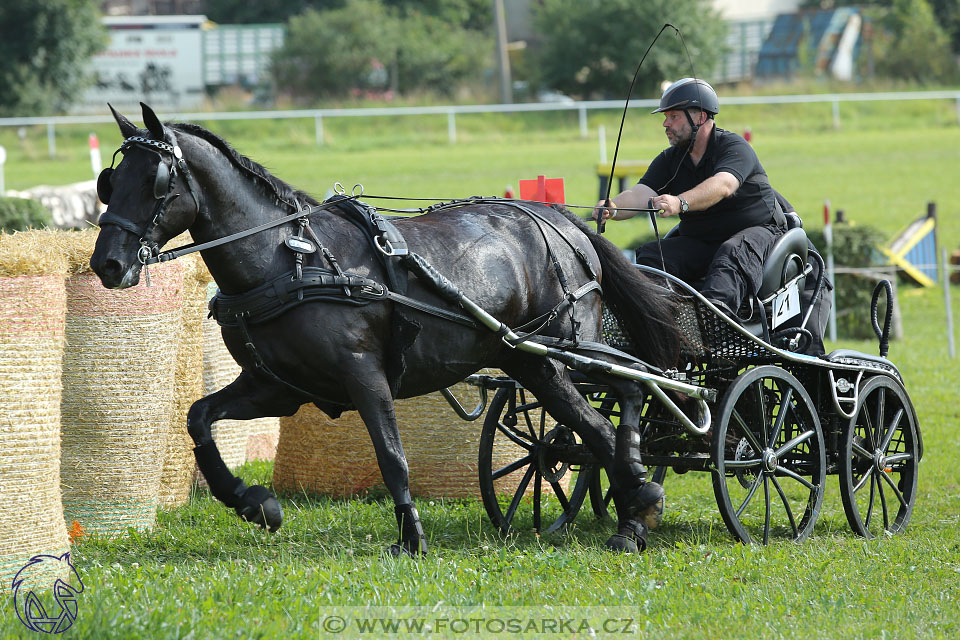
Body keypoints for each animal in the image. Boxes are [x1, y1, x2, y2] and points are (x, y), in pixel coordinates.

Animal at [86, 105, 680, 556]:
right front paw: (255, 503)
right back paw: (634, 506)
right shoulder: (278, 387)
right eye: (110, 182)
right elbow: (199, 419)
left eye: (157, 182)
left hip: (562, 352)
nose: (107, 264)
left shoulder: (363, 375)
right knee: (604, 419)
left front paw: (411, 537)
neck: (288, 259)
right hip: (530, 360)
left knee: (620, 401)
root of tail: (562, 222)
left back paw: (637, 503)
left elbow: (392, 455)